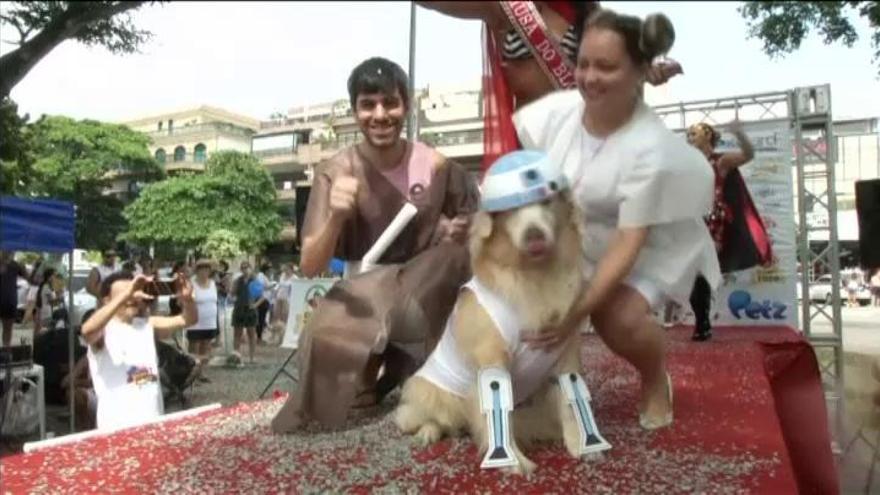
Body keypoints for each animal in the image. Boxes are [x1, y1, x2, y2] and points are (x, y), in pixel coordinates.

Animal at [396, 186, 600, 476]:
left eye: (547, 201)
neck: (534, 273)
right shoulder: (493, 365)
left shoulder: (566, 357)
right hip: (431, 391)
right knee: (425, 417)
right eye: (510, 208)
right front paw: (514, 461)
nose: (534, 235)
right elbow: (501, 418)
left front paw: (582, 445)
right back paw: (428, 432)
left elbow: (570, 405)